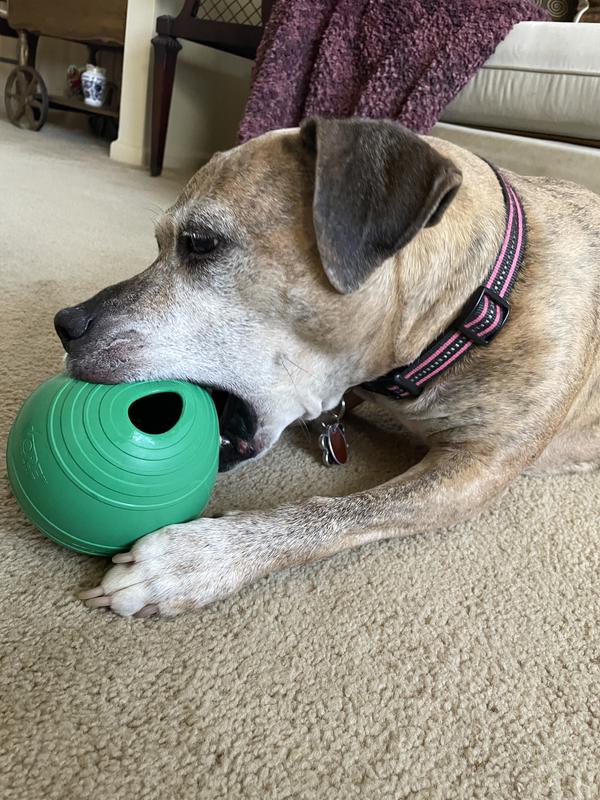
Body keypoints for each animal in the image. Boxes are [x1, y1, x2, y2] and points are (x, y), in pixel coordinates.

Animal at [53, 116, 600, 617]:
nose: (65, 324)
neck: (477, 302)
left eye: (201, 243)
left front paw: (193, 560)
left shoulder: (478, 466)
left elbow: (343, 514)